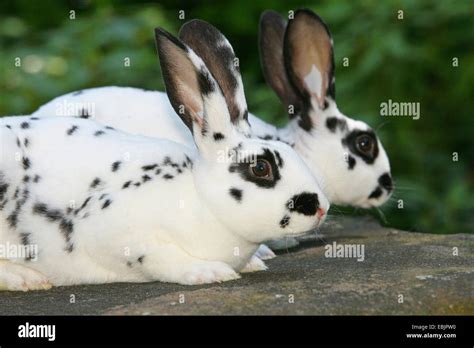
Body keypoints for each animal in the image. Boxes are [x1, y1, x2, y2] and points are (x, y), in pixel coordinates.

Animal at [0, 27, 330, 290]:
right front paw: (209, 271)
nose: (321, 208)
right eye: (261, 167)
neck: (200, 198)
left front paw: (253, 263)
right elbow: (160, 258)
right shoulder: (117, 234)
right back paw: (26, 278)